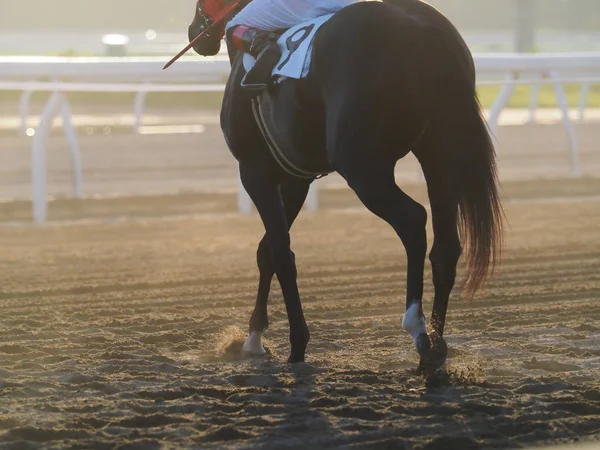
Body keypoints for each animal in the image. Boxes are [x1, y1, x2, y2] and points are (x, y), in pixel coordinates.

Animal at [190, 0, 504, 370]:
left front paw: (295, 347)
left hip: (361, 166)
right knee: (445, 246)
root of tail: (424, 31)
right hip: (440, 153)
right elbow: (266, 250)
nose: (195, 33)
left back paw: (417, 330)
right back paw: (437, 346)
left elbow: (281, 254)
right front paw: (253, 339)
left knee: (412, 219)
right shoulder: (294, 179)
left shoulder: (254, 172)